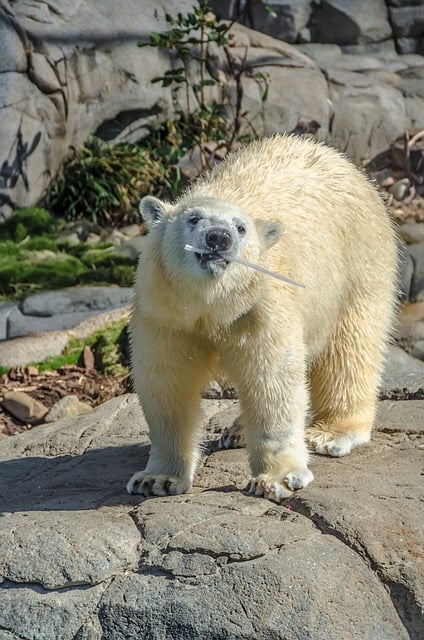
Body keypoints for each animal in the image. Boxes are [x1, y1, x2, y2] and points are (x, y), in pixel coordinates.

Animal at [127, 134, 398, 504]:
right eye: (193, 219)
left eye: (241, 228)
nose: (218, 237)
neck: (210, 304)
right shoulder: (165, 312)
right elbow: (167, 384)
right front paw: (157, 479)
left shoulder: (261, 305)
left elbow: (271, 380)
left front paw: (277, 479)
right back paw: (237, 432)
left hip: (359, 260)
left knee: (350, 348)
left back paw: (330, 433)